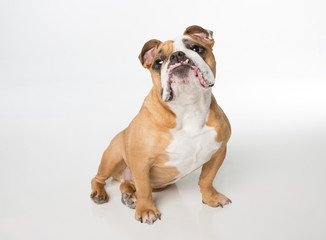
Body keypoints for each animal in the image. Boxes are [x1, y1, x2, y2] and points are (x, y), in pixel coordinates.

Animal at [90, 25, 230, 225]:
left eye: (196, 48)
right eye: (159, 61)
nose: (177, 55)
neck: (188, 106)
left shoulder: (219, 151)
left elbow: (206, 179)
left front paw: (211, 198)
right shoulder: (140, 161)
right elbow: (144, 189)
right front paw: (146, 210)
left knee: (127, 183)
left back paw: (128, 197)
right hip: (112, 156)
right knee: (99, 178)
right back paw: (100, 193)